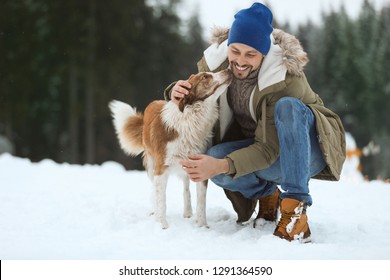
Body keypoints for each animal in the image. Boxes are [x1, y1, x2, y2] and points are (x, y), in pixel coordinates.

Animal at [108, 69, 233, 229]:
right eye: (205, 76)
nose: (228, 69)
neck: (191, 118)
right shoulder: (161, 169)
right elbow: (161, 200)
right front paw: (163, 225)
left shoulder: (200, 165)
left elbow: (201, 202)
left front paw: (202, 226)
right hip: (151, 165)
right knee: (154, 190)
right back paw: (155, 213)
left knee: (186, 188)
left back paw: (187, 212)